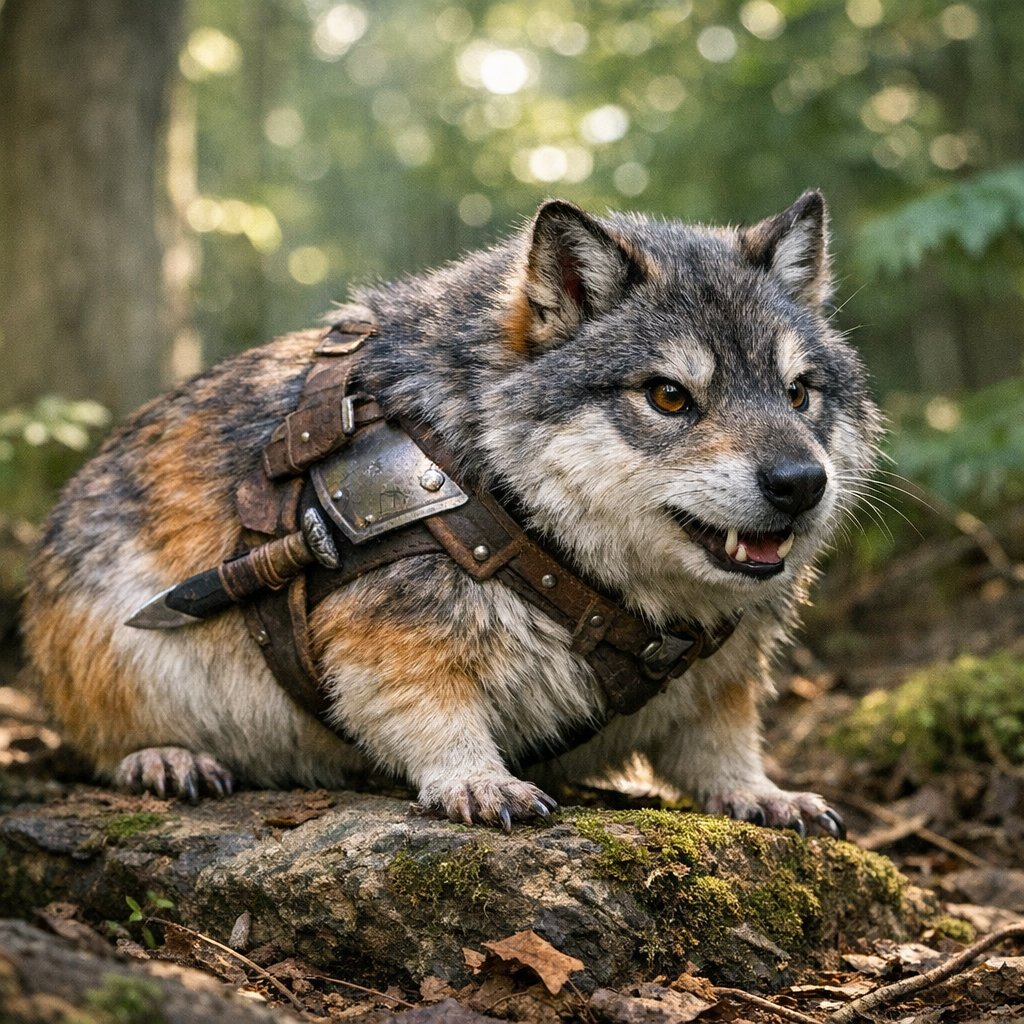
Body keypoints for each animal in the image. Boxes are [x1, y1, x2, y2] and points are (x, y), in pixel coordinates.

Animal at [24, 193, 879, 834]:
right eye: (669, 396)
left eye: (798, 392)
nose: (802, 482)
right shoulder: (392, 645)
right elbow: (437, 719)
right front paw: (478, 781)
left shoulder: (723, 685)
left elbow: (724, 752)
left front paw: (765, 795)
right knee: (101, 746)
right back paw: (165, 759)